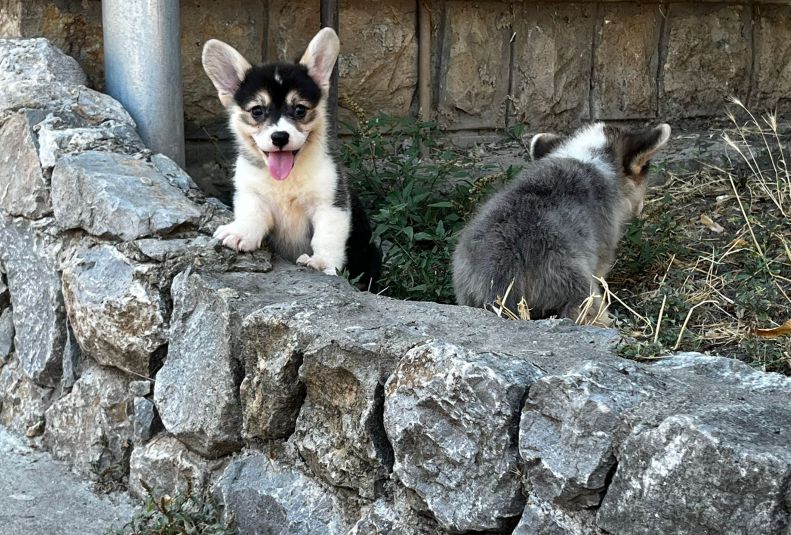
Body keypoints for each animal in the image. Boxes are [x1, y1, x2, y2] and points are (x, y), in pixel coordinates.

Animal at [201, 28, 380, 288]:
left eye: (300, 110)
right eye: (257, 111)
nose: (279, 137)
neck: (286, 180)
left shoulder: (330, 203)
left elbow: (327, 236)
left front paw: (322, 263)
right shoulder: (250, 192)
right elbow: (252, 212)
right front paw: (241, 232)